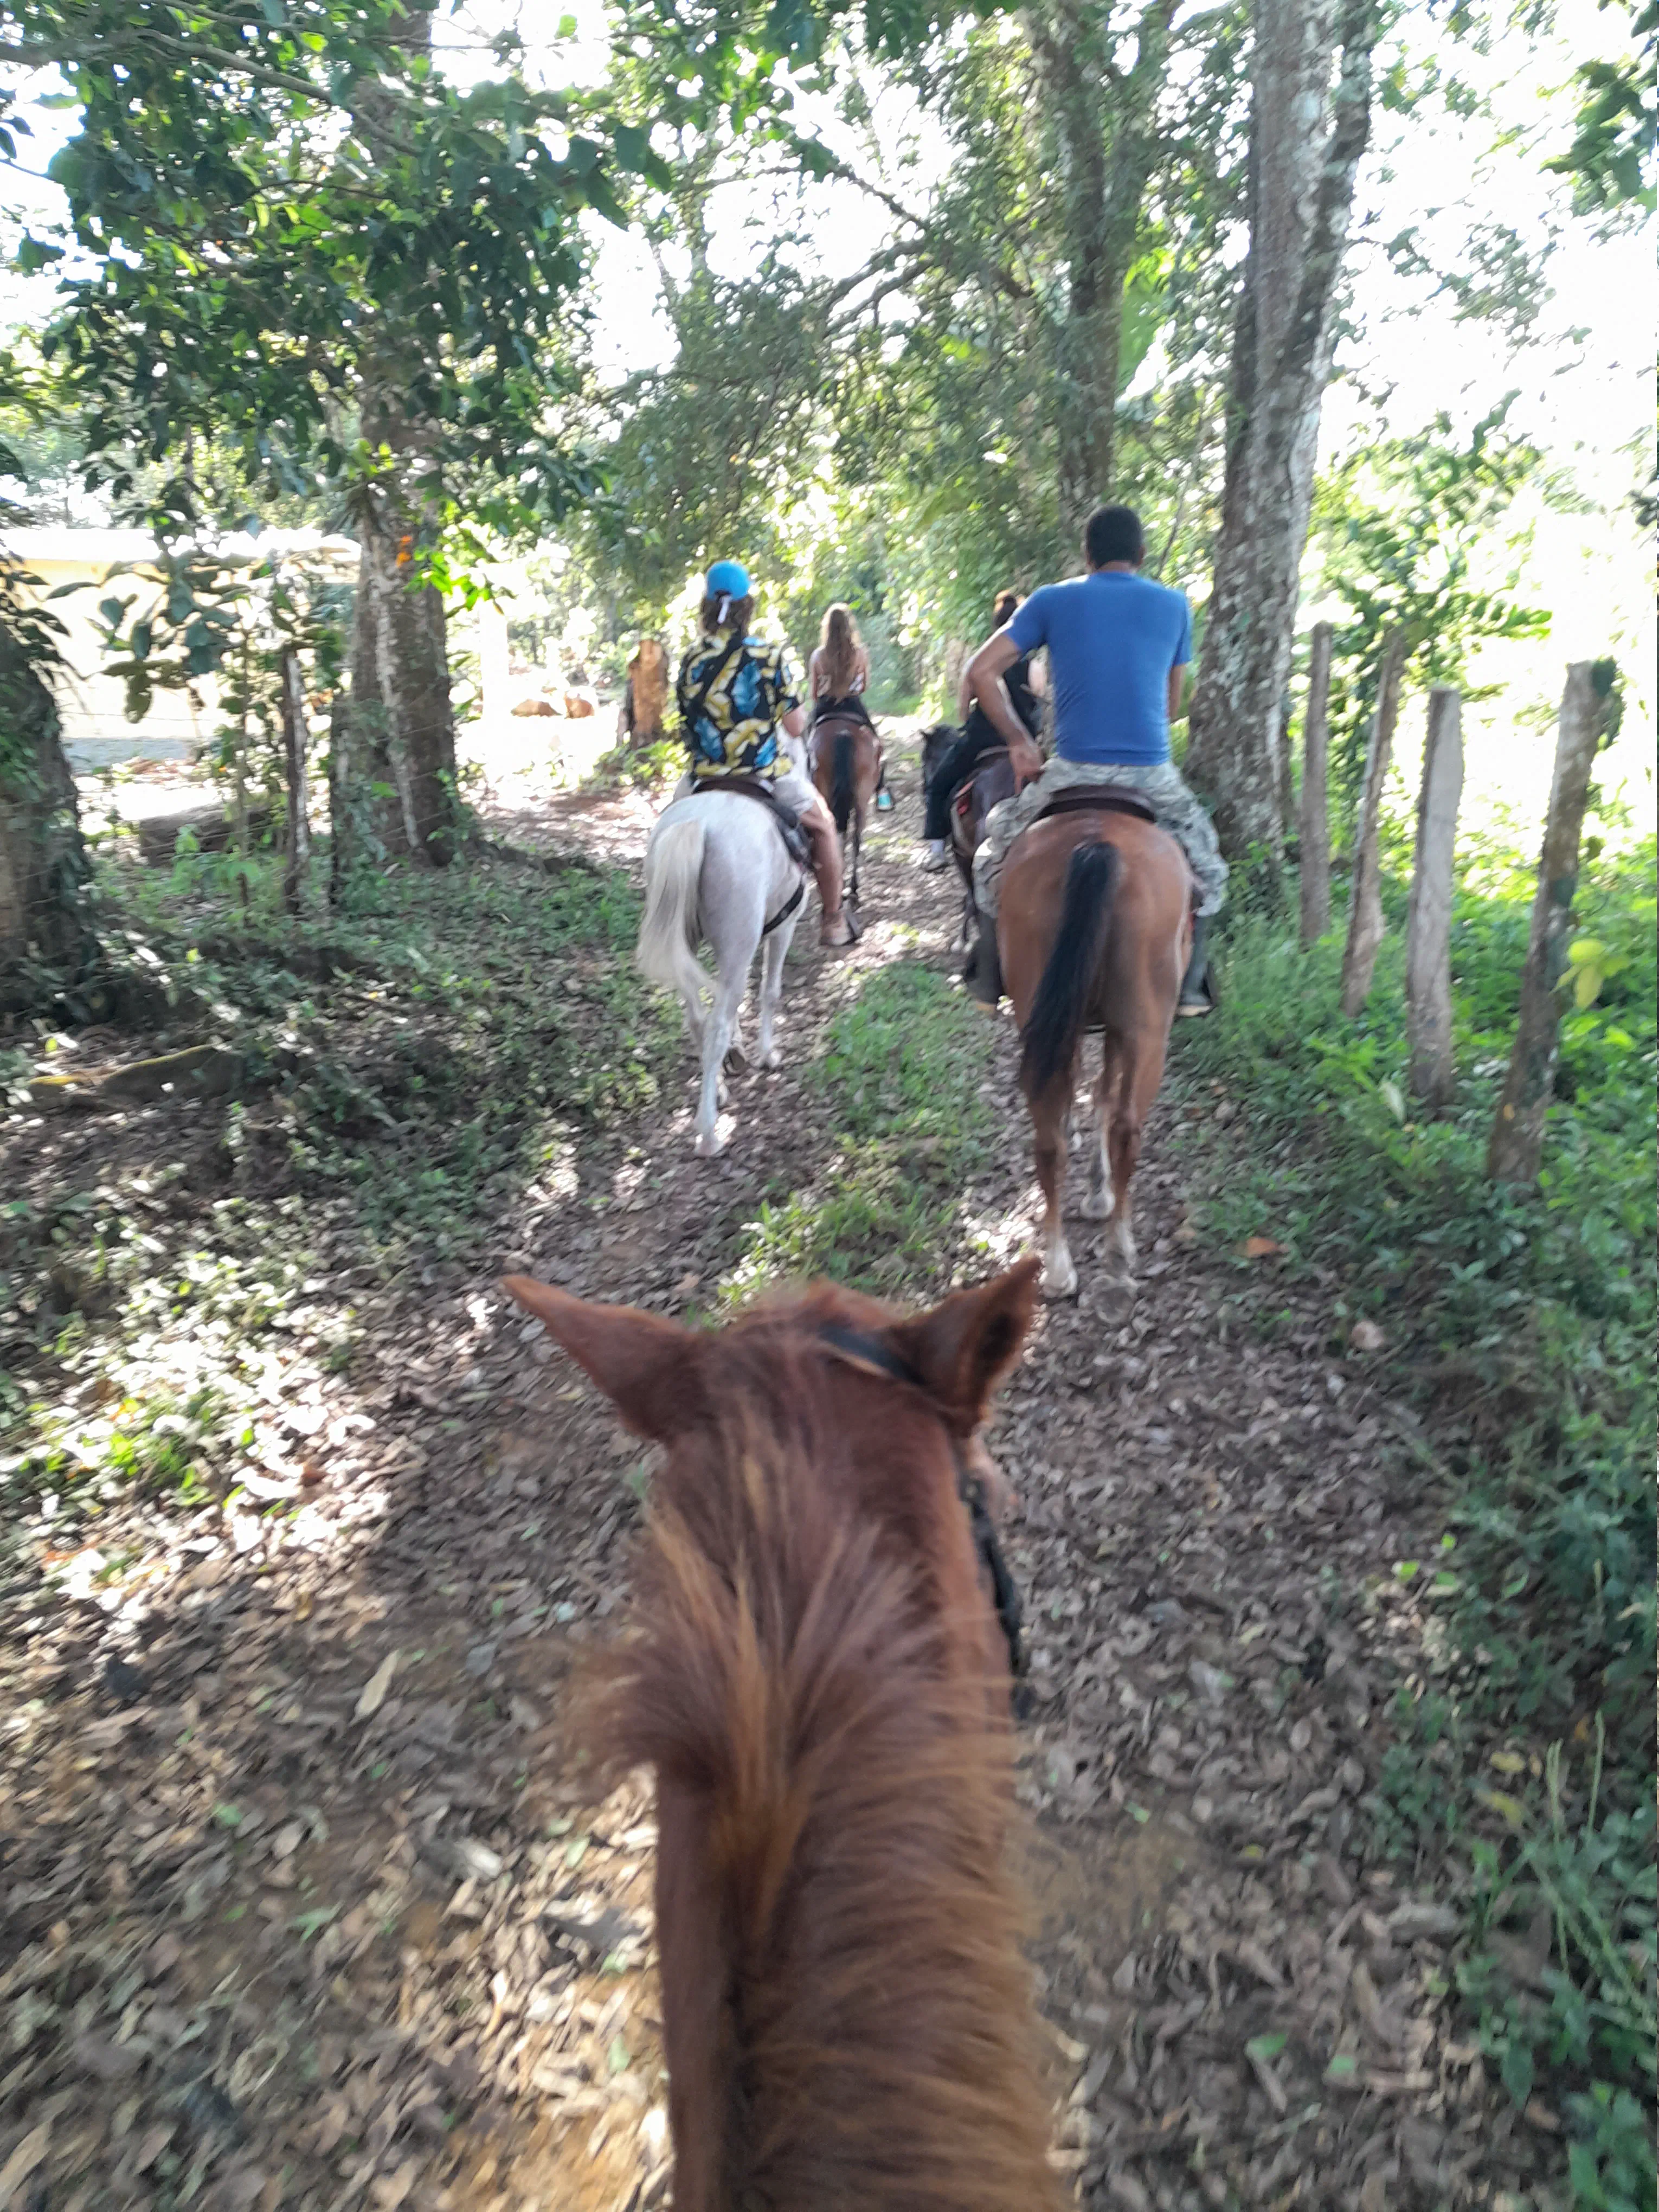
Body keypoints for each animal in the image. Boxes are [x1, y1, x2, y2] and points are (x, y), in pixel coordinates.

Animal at [636, 785, 807, 1158]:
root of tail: (697, 823)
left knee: (699, 1020)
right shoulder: (782, 930)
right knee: (715, 1028)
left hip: (687, 944)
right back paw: (709, 1134)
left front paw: (738, 1053)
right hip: (739, 943)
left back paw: (716, 1091)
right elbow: (770, 993)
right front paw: (767, 1055)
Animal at [999, 804, 1192, 1299]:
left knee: (1048, 1142)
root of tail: (1096, 845)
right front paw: (1097, 1191)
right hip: (1147, 1031)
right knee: (1127, 1126)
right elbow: (1105, 1093)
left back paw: (1057, 1268)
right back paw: (1119, 1249)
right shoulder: (1119, 1031)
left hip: (1039, 1013)